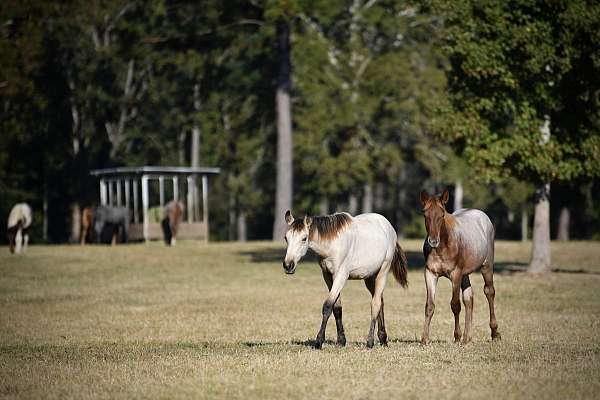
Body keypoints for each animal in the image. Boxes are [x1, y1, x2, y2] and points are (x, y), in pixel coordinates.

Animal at [282, 211, 408, 348]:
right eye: (286, 238)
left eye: (304, 238)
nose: (288, 265)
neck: (332, 245)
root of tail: (389, 227)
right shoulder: (328, 276)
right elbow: (337, 308)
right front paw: (341, 341)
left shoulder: (341, 276)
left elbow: (327, 306)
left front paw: (319, 341)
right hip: (370, 278)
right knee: (380, 301)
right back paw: (383, 338)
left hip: (382, 272)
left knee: (375, 304)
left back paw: (370, 342)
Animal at [420, 189, 500, 346]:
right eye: (425, 214)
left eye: (442, 214)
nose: (433, 241)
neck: (442, 247)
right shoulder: (430, 273)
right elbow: (430, 306)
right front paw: (424, 339)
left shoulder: (455, 274)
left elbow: (455, 305)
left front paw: (456, 336)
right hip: (465, 274)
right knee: (469, 298)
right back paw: (467, 337)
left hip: (486, 266)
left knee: (489, 292)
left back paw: (494, 333)